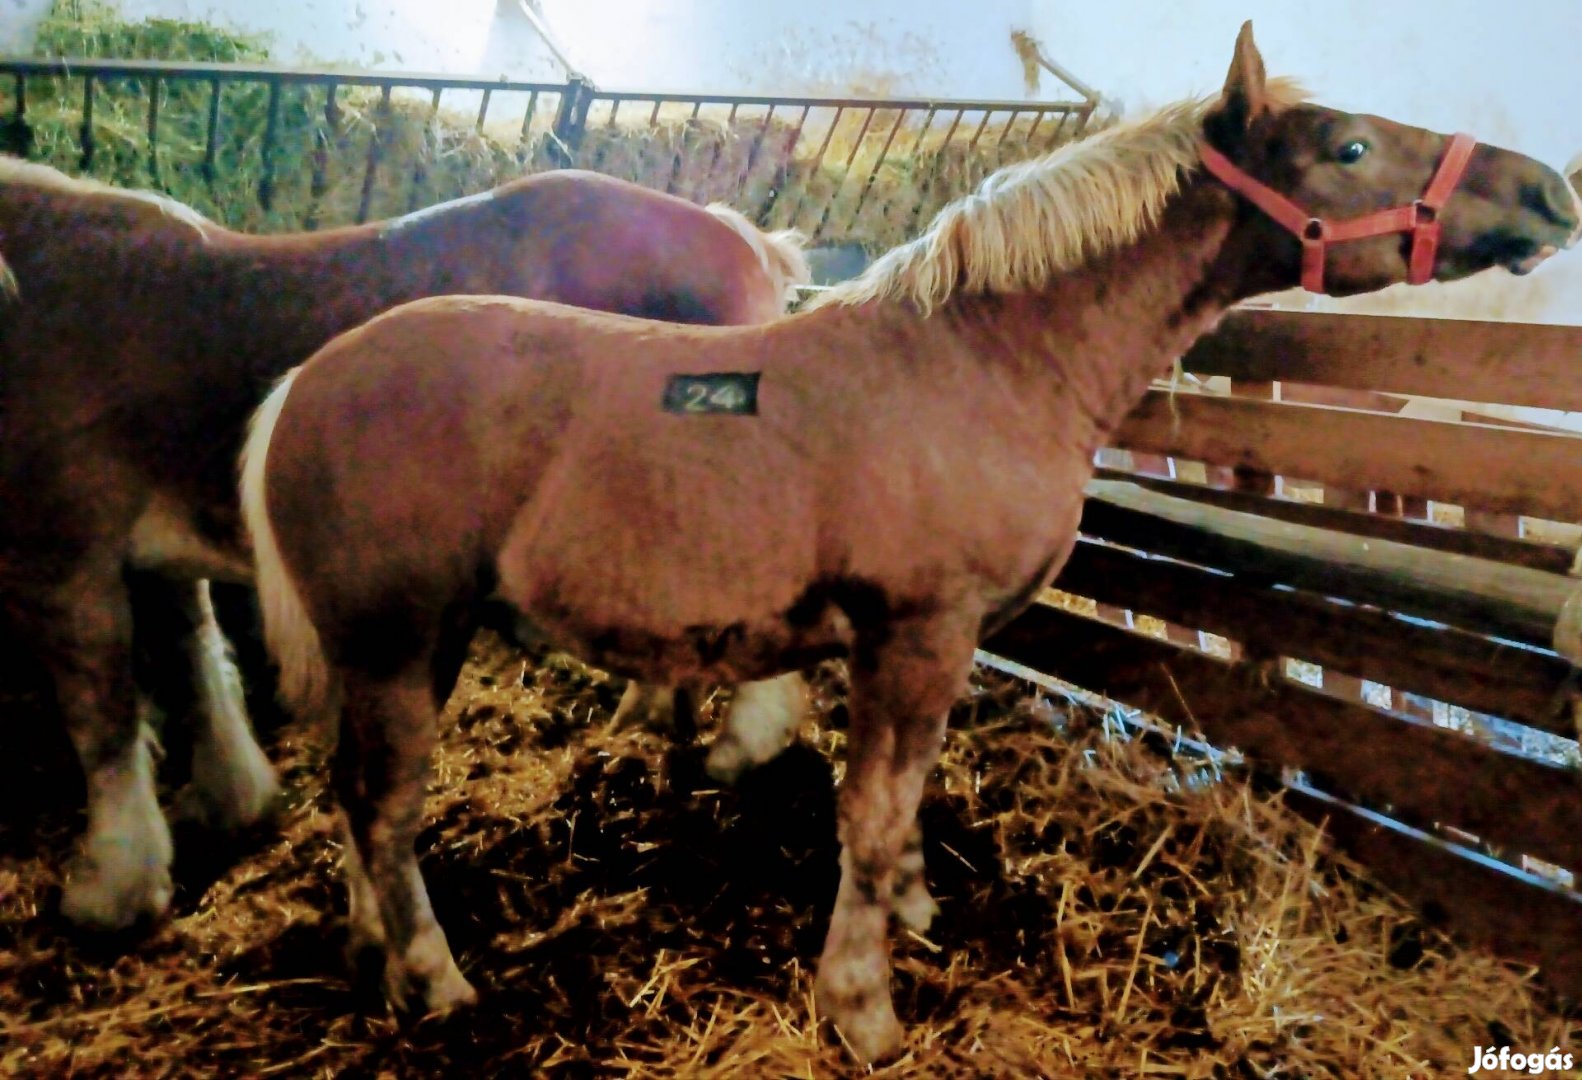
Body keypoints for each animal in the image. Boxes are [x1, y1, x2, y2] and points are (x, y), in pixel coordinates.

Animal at [0, 160, 809, 936]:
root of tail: (743, 239)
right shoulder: (158, 563)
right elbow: (196, 666)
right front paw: (229, 800)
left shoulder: (64, 565)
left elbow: (104, 721)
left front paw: (111, 891)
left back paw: (741, 745)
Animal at [240, 21, 1575, 1068]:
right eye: (1350, 148)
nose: (1546, 194)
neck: (983, 365)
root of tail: (304, 383)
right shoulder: (913, 637)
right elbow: (871, 814)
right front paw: (863, 1007)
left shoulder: (940, 645)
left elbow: (904, 804)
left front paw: (913, 915)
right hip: (400, 639)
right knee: (383, 802)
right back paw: (432, 978)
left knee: (358, 799)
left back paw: (372, 950)